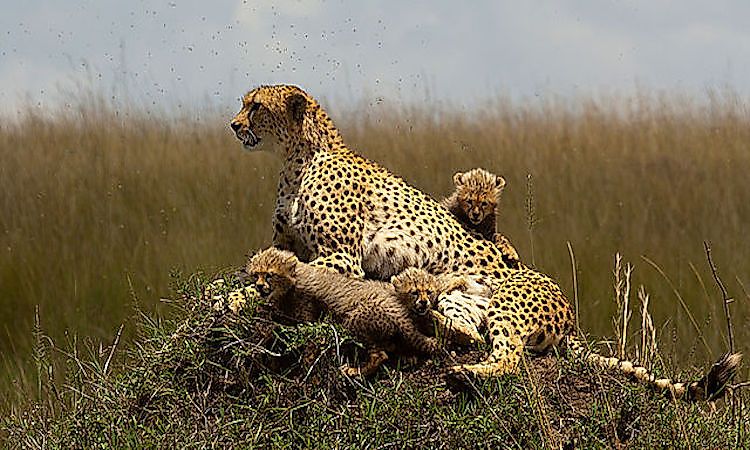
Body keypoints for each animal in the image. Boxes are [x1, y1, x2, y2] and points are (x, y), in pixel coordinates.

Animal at [247, 246, 438, 376]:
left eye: (270, 275)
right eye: (256, 274)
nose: (259, 286)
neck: (294, 280)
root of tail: (397, 309)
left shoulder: (309, 315)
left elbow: (310, 343)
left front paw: (305, 366)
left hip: (354, 321)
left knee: (380, 355)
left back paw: (355, 371)